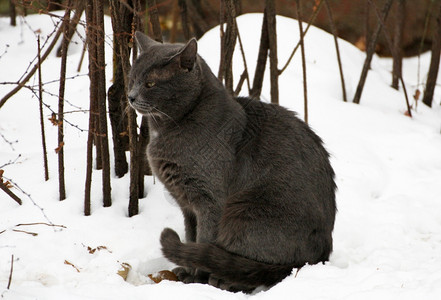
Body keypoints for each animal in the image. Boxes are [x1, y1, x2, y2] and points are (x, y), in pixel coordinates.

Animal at [128, 31, 336, 292]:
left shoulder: (210, 201)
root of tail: (317, 258)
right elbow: (191, 235)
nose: (130, 97)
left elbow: (204, 239)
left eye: (150, 84)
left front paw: (197, 280)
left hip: (245, 213)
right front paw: (187, 272)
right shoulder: (187, 205)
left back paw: (222, 280)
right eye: (132, 78)